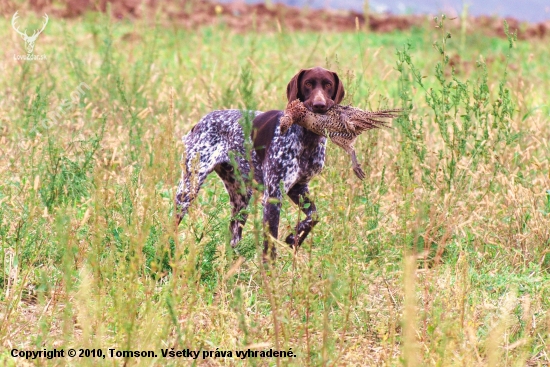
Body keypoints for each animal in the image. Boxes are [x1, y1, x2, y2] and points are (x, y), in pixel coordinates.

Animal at [178, 67, 344, 260]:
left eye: (328, 85)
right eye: (308, 83)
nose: (319, 105)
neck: (307, 139)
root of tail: (200, 123)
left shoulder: (298, 188)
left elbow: (314, 216)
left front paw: (294, 237)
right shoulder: (273, 197)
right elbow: (270, 247)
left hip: (241, 199)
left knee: (233, 240)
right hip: (188, 188)